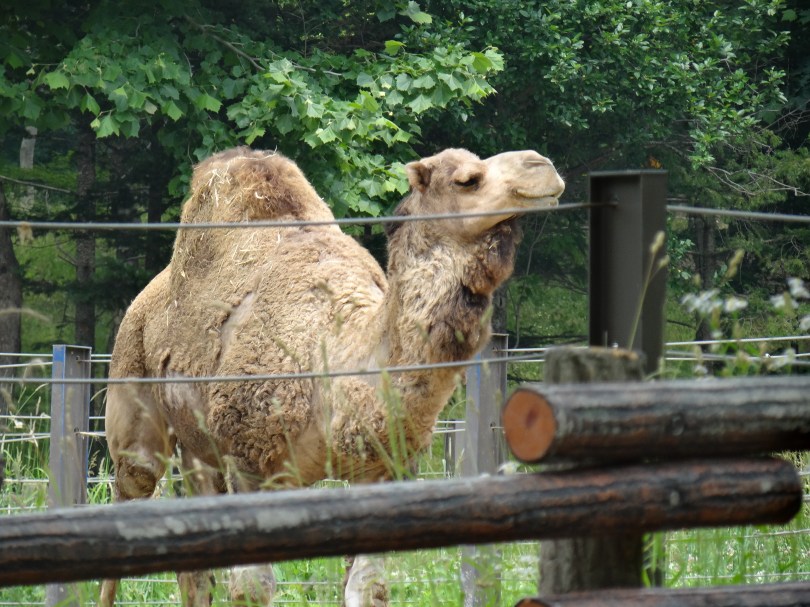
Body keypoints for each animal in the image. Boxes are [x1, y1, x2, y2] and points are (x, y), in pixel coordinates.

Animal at [100, 146, 564, 606]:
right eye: (467, 180)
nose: (542, 165)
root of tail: (145, 299)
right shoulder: (250, 461)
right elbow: (252, 589)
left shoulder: (381, 472)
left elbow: (368, 588)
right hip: (134, 399)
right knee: (130, 496)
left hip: (200, 448)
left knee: (194, 567)